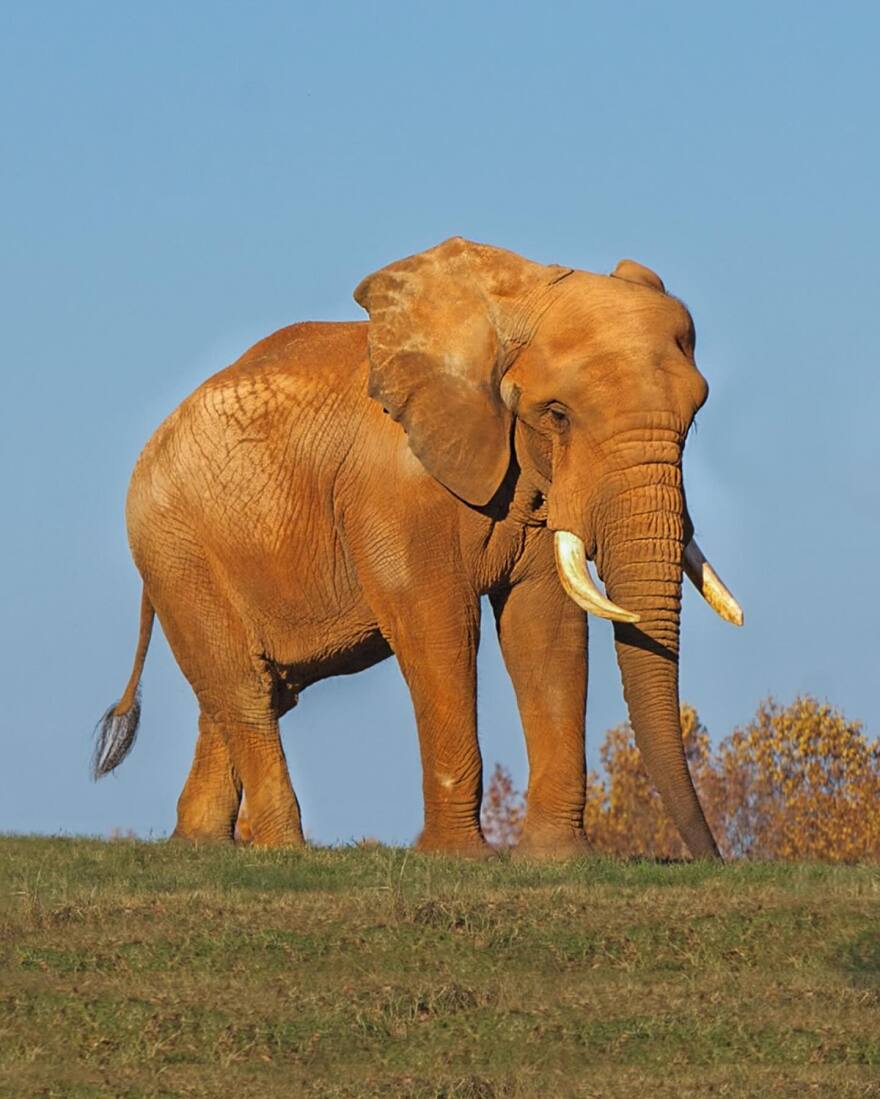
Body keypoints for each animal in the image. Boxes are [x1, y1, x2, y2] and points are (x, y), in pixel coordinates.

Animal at [94, 237, 742, 858]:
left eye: (694, 416)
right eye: (557, 414)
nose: (711, 857)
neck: (510, 300)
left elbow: (545, 625)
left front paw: (559, 860)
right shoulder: (393, 490)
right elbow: (438, 625)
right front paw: (461, 858)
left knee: (251, 689)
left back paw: (201, 844)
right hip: (174, 545)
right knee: (245, 690)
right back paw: (284, 852)